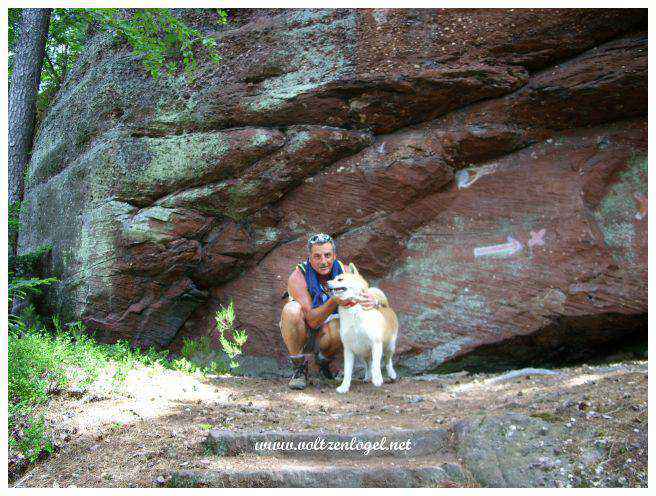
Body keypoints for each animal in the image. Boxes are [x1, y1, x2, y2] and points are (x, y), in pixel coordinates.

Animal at [326, 266, 398, 394]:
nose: (327, 282)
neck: (353, 308)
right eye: (333, 278)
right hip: (363, 351)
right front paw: (344, 387)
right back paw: (367, 377)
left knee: (387, 361)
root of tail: (387, 306)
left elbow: (376, 364)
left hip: (390, 346)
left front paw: (377, 379)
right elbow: (348, 371)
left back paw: (391, 374)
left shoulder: (376, 344)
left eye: (340, 279)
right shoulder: (348, 349)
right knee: (368, 363)